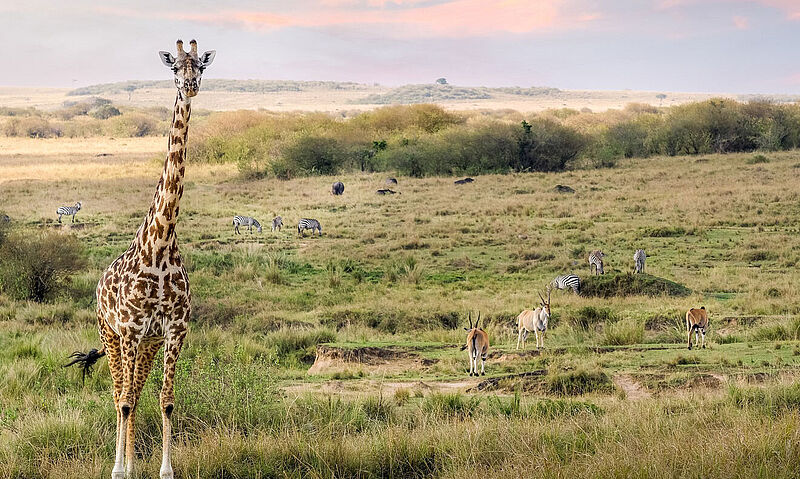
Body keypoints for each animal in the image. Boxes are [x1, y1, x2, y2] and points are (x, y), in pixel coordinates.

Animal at [67, 40, 216, 479]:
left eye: (201, 66)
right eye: (174, 69)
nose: (190, 86)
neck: (161, 246)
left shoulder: (174, 330)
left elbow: (165, 401)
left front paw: (165, 470)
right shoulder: (130, 330)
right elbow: (125, 401)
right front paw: (121, 470)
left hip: (146, 343)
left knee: (134, 391)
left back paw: (131, 462)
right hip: (111, 335)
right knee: (120, 394)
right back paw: (121, 465)